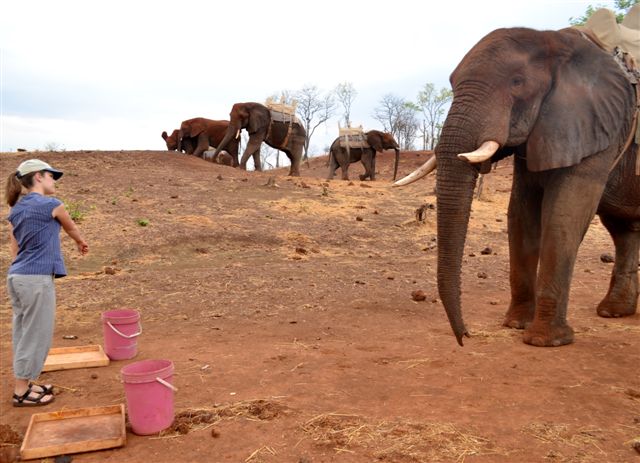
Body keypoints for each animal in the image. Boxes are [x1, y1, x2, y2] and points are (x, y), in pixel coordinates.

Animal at [396, 26, 639, 347]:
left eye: (517, 82)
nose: (465, 336)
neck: (556, 42)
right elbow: (521, 214)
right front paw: (515, 324)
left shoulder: (598, 127)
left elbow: (564, 214)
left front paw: (545, 341)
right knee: (624, 230)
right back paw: (613, 312)